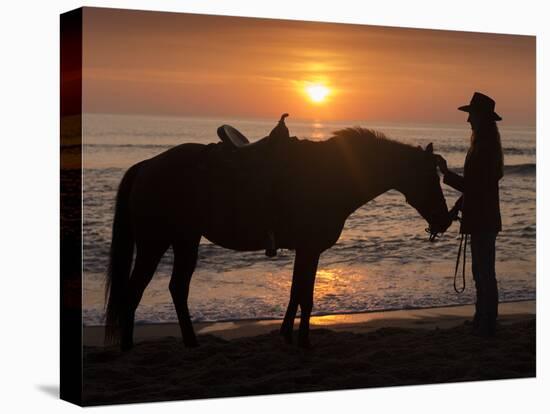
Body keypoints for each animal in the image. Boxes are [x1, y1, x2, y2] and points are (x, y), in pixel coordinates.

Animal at [104, 127, 452, 350]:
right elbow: (305, 296)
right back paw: (129, 347)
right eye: (429, 178)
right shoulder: (310, 249)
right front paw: (305, 342)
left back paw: (191, 343)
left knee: (177, 288)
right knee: (134, 291)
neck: (331, 174)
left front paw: (287, 335)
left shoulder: (306, 250)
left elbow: (297, 293)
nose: (445, 220)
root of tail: (147, 166)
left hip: (185, 240)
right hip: (154, 243)